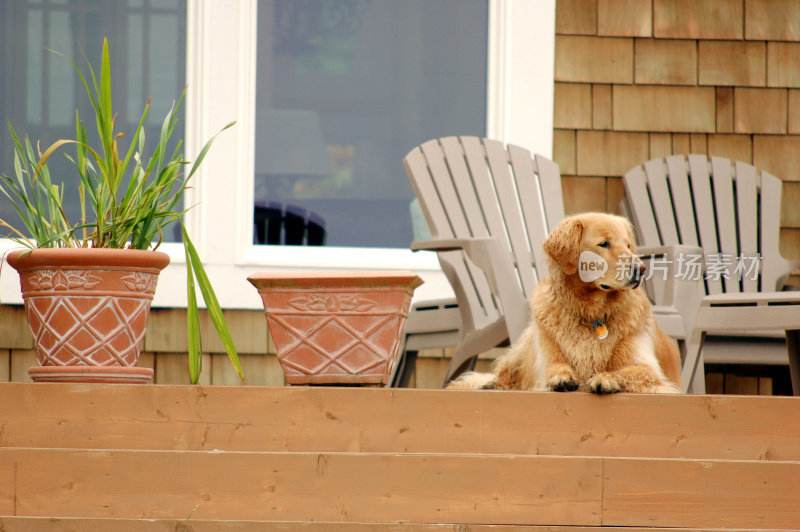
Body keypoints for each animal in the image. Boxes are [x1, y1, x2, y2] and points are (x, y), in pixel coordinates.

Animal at [450, 213, 680, 394]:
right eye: (604, 243)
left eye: (629, 245)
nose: (641, 269)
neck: (593, 314)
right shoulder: (548, 358)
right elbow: (555, 367)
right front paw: (561, 378)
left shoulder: (649, 370)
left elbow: (626, 371)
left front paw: (605, 378)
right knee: (503, 374)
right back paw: (491, 385)